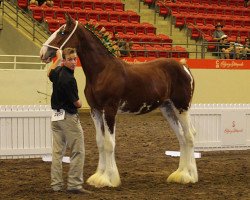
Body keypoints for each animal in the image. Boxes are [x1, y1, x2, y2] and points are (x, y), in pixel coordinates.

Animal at [40, 15, 197, 188]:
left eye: (63, 32)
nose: (43, 53)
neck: (102, 70)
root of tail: (184, 67)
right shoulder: (96, 110)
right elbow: (100, 142)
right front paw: (98, 176)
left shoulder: (110, 109)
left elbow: (109, 143)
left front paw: (108, 179)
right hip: (168, 109)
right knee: (181, 138)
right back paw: (179, 174)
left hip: (182, 107)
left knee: (189, 136)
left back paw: (189, 176)